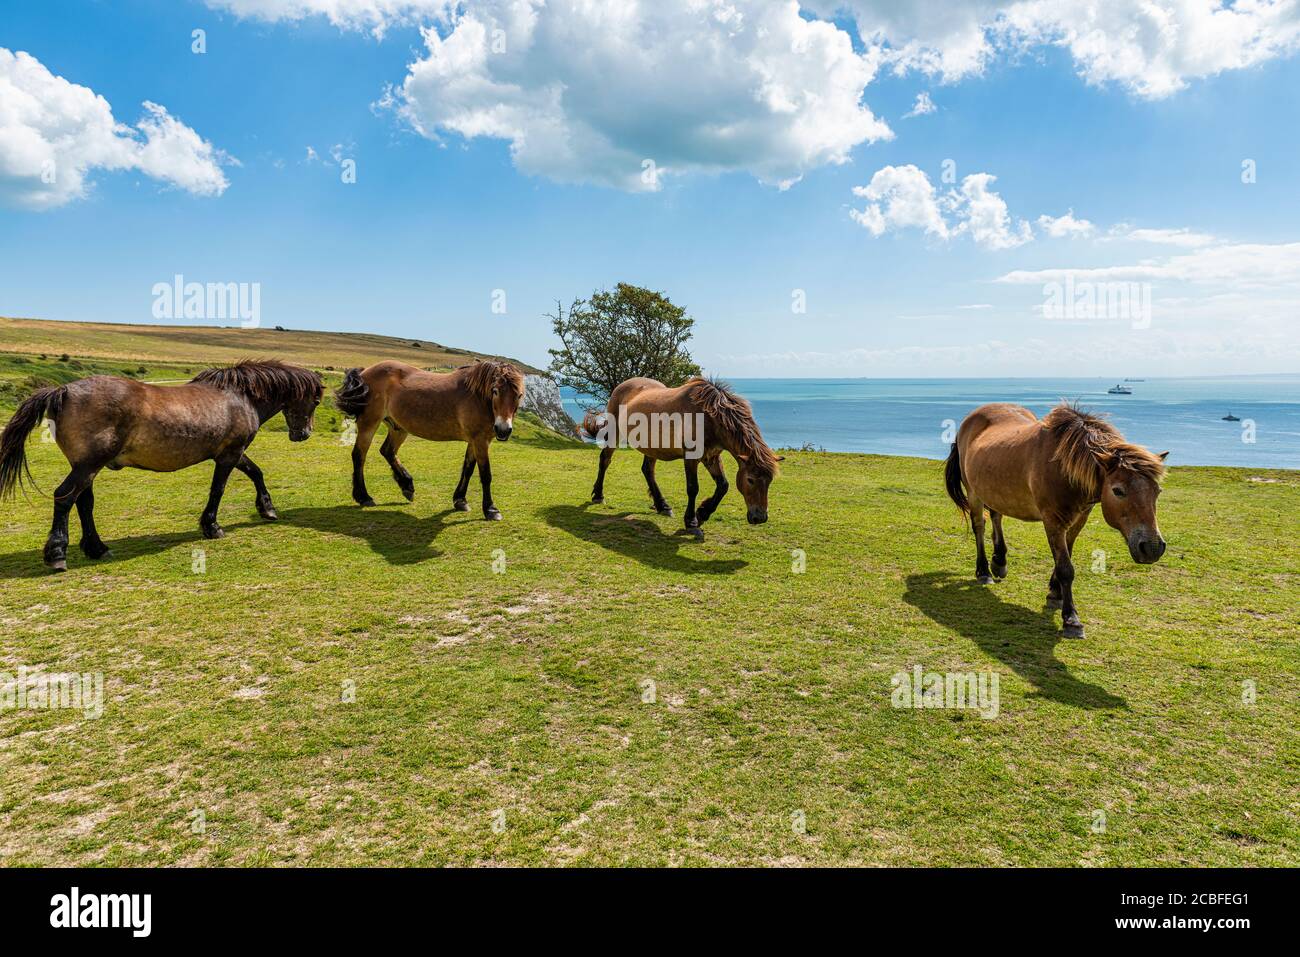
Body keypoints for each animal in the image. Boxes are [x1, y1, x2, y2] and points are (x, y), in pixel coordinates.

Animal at [0, 359, 324, 571]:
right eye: (317, 401)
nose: (303, 434)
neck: (240, 396)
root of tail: (64, 390)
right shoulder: (229, 454)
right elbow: (218, 490)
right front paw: (212, 526)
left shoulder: (233, 452)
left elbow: (256, 472)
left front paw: (267, 509)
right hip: (87, 465)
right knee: (65, 497)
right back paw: (57, 554)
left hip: (86, 466)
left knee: (84, 502)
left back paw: (97, 548)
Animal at [334, 359, 525, 520]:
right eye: (495, 391)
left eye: (519, 395)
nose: (503, 430)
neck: (478, 397)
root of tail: (365, 372)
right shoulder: (480, 440)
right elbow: (485, 474)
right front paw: (491, 509)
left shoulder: (475, 440)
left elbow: (467, 469)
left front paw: (460, 500)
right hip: (369, 424)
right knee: (359, 456)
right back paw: (364, 497)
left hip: (398, 428)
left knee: (387, 451)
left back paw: (407, 485)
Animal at [586, 376, 781, 537]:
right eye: (750, 480)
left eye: (770, 481)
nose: (760, 517)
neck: (708, 417)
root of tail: (622, 386)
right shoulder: (691, 457)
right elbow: (693, 488)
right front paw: (691, 521)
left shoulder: (711, 456)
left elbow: (723, 486)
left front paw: (702, 513)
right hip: (614, 432)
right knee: (605, 460)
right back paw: (598, 495)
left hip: (652, 447)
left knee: (647, 470)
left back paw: (662, 505)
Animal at [944, 402, 1168, 638]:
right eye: (1118, 491)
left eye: (1158, 491)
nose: (1152, 547)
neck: (1063, 466)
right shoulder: (1053, 521)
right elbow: (1066, 569)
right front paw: (1071, 619)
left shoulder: (1079, 519)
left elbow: (1066, 555)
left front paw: (1055, 593)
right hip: (973, 492)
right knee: (979, 526)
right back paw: (984, 571)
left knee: (997, 516)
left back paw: (999, 562)